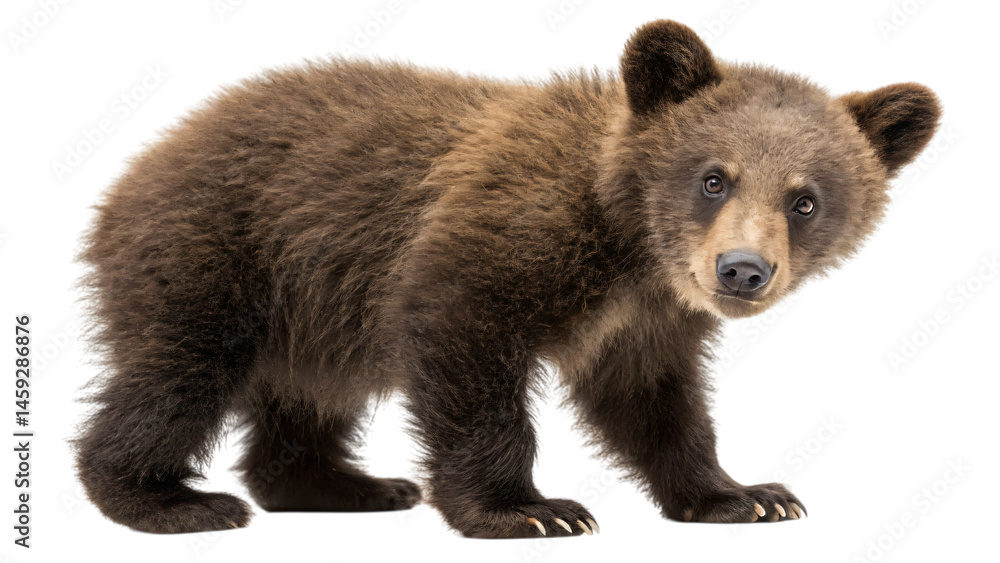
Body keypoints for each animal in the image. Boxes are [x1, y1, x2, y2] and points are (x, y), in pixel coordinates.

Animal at [74, 19, 940, 537]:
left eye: (805, 198)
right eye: (714, 177)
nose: (743, 269)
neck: (627, 245)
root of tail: (132, 173)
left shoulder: (646, 321)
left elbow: (656, 402)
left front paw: (746, 493)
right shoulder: (497, 242)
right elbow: (465, 345)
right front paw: (531, 508)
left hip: (317, 312)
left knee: (310, 395)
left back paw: (349, 484)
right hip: (219, 255)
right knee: (175, 374)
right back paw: (168, 497)